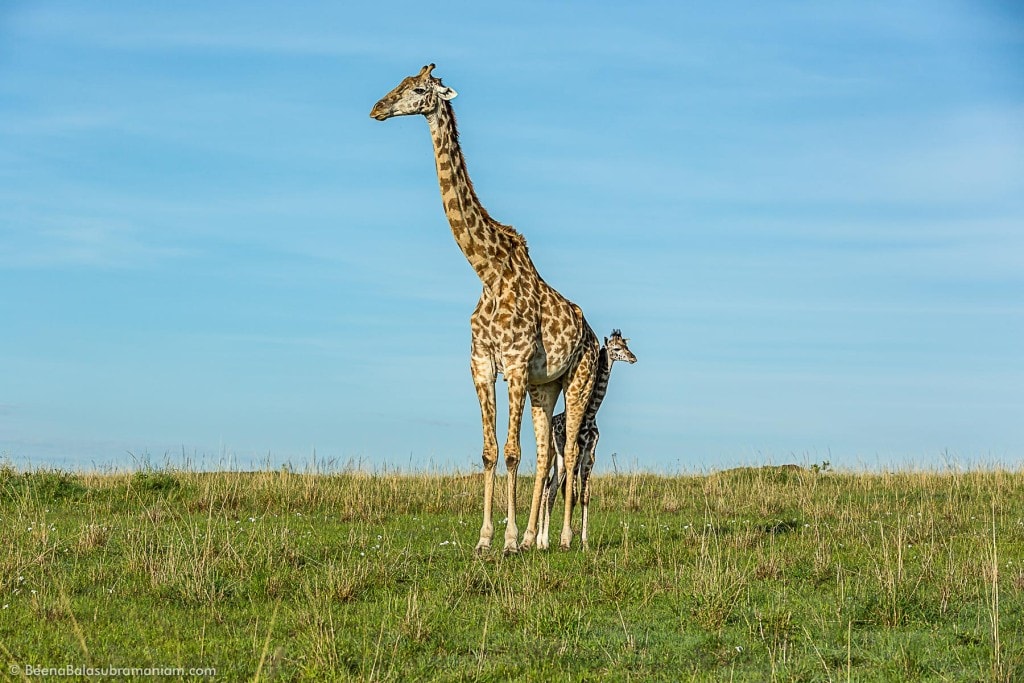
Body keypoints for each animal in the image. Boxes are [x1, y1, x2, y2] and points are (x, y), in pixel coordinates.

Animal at [372, 63, 598, 552]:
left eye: (418, 89)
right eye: (398, 83)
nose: (377, 108)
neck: (487, 272)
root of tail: (592, 336)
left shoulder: (513, 364)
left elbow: (511, 453)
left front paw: (508, 540)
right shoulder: (480, 364)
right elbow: (491, 451)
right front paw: (487, 538)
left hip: (578, 381)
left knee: (570, 454)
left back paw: (564, 537)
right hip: (545, 386)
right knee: (544, 456)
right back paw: (536, 539)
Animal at [540, 331, 634, 548]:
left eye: (626, 345)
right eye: (616, 348)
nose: (633, 358)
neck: (590, 414)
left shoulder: (590, 456)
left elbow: (585, 496)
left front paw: (585, 543)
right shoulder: (578, 453)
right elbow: (572, 496)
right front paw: (566, 539)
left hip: (560, 463)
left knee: (551, 490)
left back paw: (542, 541)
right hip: (554, 456)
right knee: (547, 491)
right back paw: (541, 541)